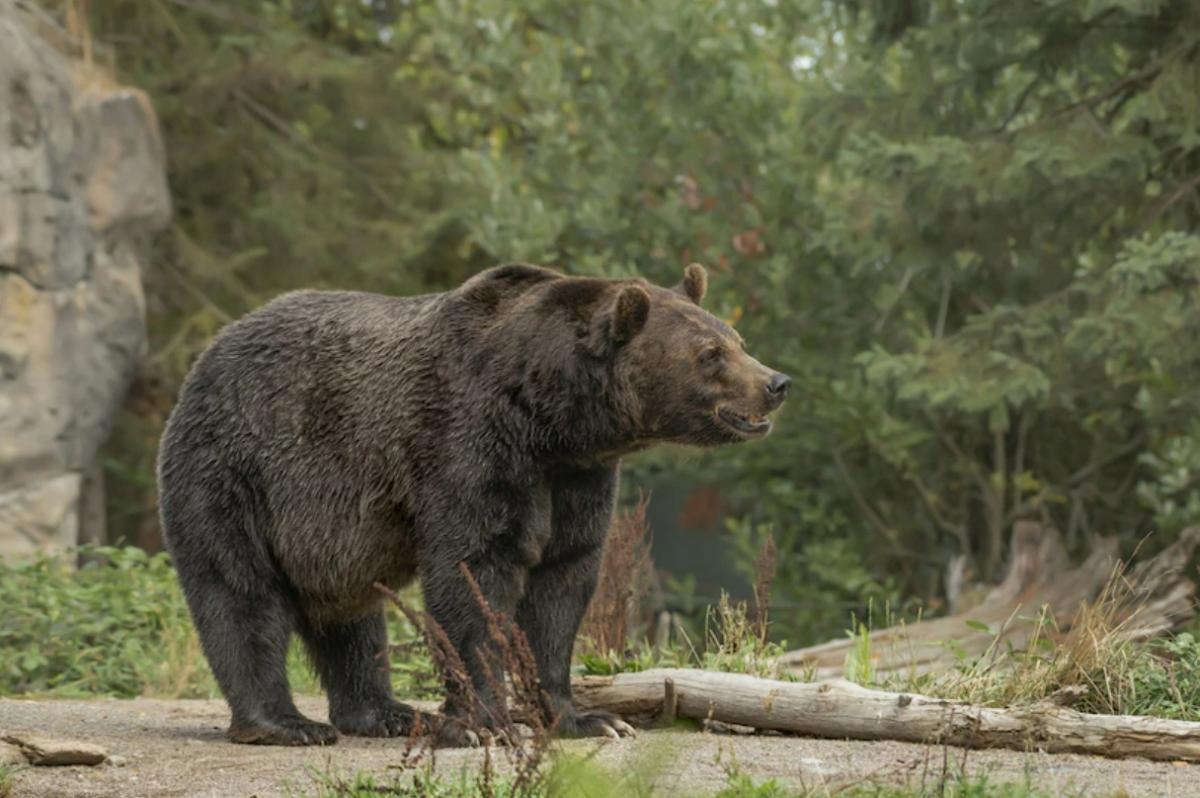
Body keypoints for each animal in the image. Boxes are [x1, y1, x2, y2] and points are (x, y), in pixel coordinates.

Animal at [154, 264, 787, 744]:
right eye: (709, 353)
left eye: (738, 340)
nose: (776, 382)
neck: (552, 418)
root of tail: (207, 354)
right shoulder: (470, 444)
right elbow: (474, 574)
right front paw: (484, 722)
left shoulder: (576, 479)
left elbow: (562, 584)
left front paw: (586, 718)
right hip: (235, 471)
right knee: (239, 592)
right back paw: (285, 724)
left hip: (327, 531)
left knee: (351, 616)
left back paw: (386, 712)